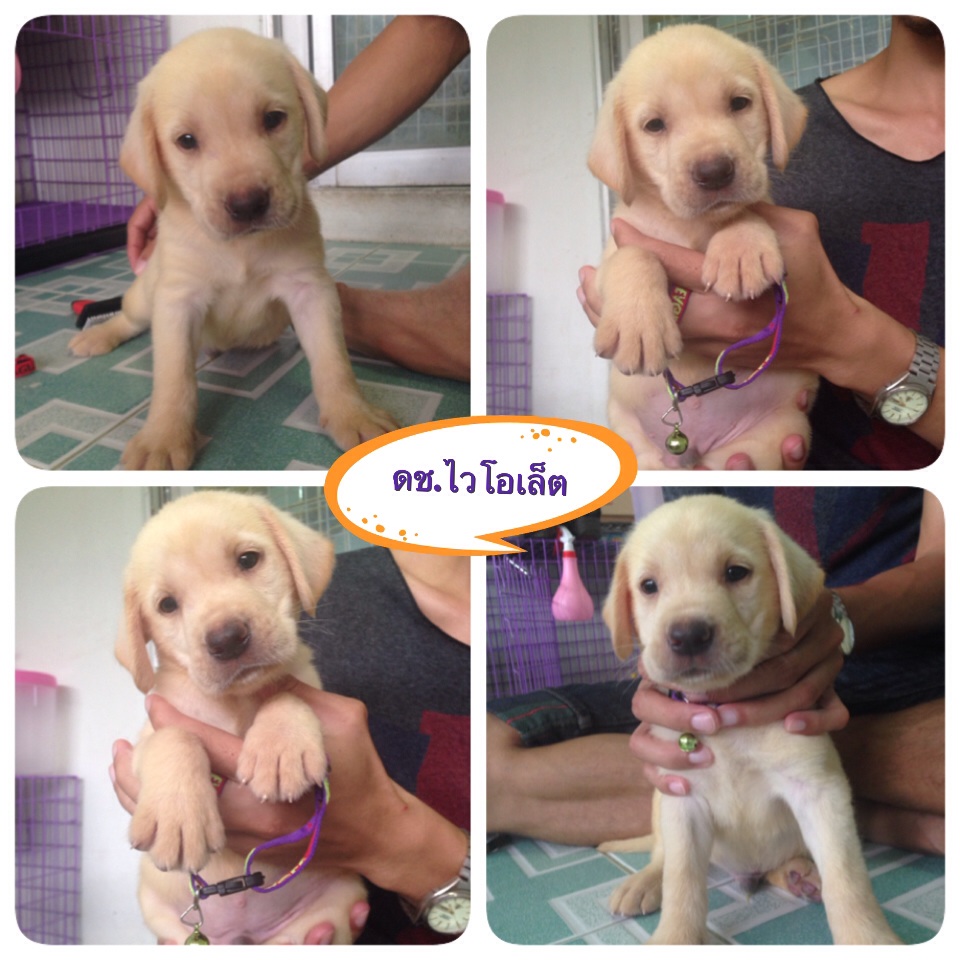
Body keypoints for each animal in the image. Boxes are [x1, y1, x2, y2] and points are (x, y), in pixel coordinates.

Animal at [69, 28, 396, 469]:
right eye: (186, 141)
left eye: (273, 119)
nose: (247, 204)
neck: (240, 248)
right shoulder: (177, 301)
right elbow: (174, 378)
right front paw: (162, 438)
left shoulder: (310, 289)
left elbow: (333, 360)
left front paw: (353, 412)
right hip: (143, 295)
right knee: (128, 318)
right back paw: (98, 336)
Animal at [117, 491, 365, 943]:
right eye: (166, 605)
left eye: (248, 560)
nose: (227, 639)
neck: (233, 702)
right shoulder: (143, 740)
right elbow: (175, 736)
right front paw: (178, 813)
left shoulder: (317, 691)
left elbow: (285, 692)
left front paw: (281, 748)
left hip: (327, 911)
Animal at [588, 25, 819, 469]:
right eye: (654, 125)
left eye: (739, 104)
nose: (714, 172)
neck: (688, 226)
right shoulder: (605, 260)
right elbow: (634, 254)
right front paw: (639, 324)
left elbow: (745, 211)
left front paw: (740, 249)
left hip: (758, 444)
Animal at [600, 495, 900, 944]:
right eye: (648, 586)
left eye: (735, 573)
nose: (688, 635)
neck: (726, 724)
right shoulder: (683, 799)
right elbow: (682, 879)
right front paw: (675, 937)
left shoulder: (819, 790)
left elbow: (847, 879)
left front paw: (869, 938)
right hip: (659, 798)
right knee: (661, 855)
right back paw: (643, 882)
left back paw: (799, 874)